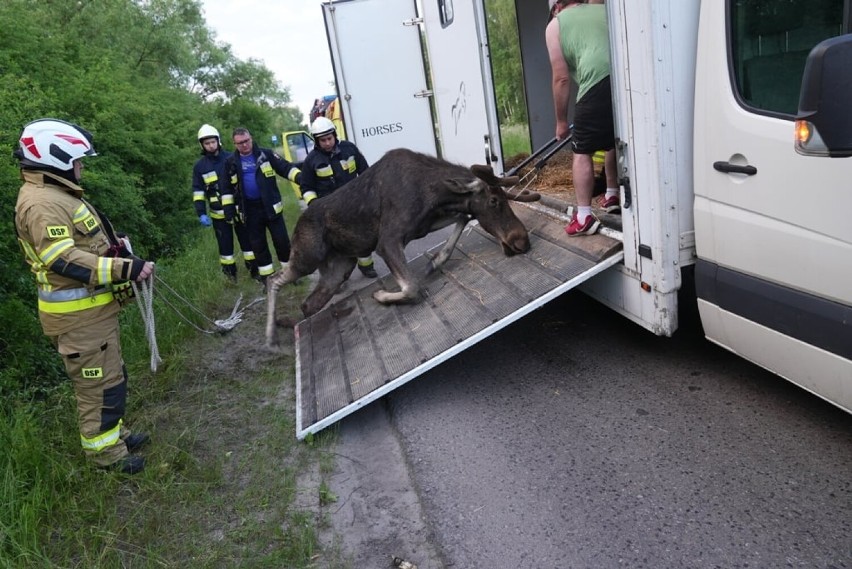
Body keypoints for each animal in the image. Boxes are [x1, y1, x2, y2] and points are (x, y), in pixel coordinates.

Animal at [266, 148, 540, 346]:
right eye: (494, 201)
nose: (521, 240)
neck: (435, 193)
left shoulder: (425, 224)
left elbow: (464, 217)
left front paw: (436, 261)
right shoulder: (387, 241)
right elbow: (412, 288)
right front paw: (380, 295)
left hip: (339, 268)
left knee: (308, 304)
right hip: (307, 257)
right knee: (273, 280)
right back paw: (271, 338)